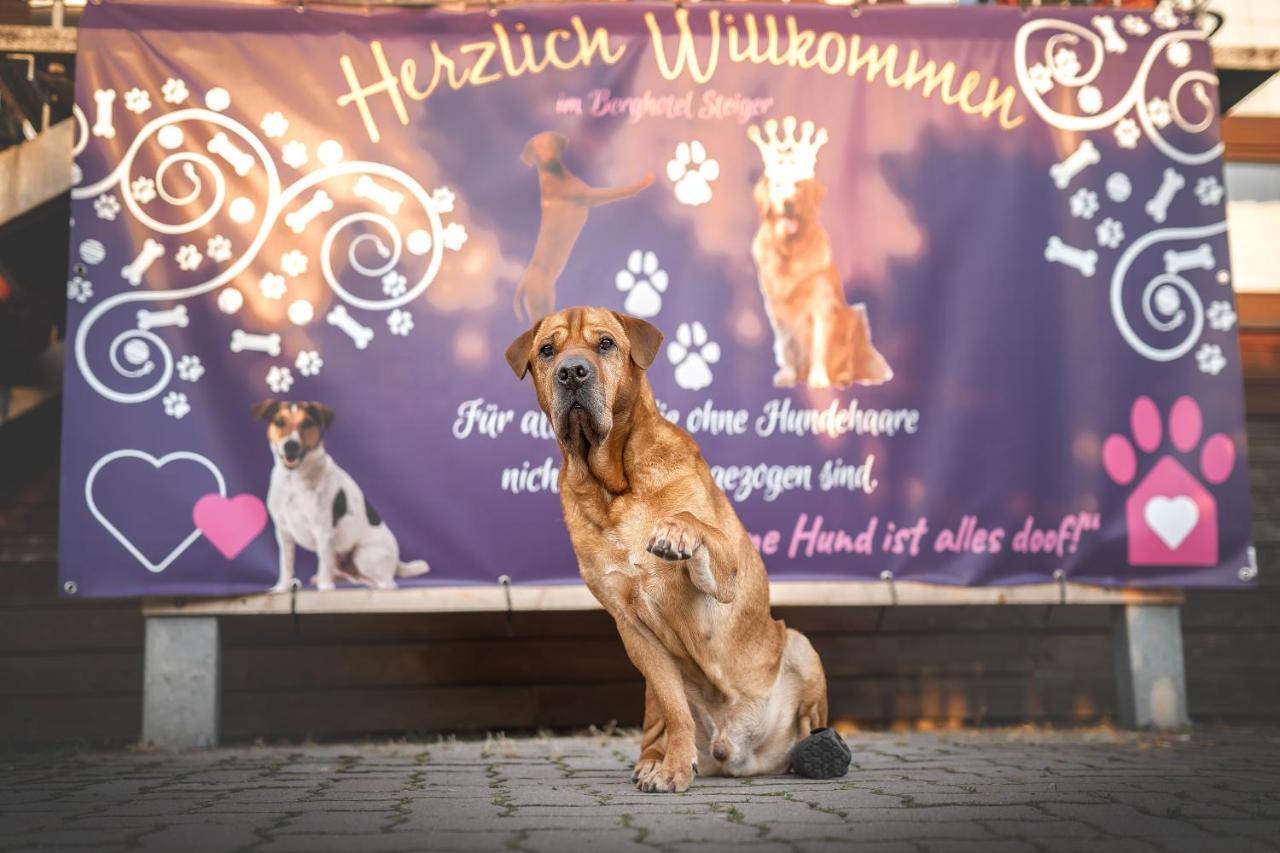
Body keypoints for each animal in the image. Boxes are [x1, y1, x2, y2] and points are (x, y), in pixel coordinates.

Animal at [504, 306, 834, 788]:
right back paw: (654, 759)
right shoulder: (634, 630)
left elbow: (696, 526)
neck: (615, 485)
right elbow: (676, 708)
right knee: (661, 720)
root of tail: (739, 753)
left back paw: (822, 754)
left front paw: (676, 534)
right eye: (547, 350)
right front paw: (673, 766)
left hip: (799, 645)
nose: (572, 372)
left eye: (605, 343)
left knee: (811, 724)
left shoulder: (726, 572)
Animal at [512, 134, 655, 324]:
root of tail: (525, 281)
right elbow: (620, 190)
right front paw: (644, 182)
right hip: (542, 299)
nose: (548, 157)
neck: (553, 176)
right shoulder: (590, 196)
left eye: (550, 143)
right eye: (538, 149)